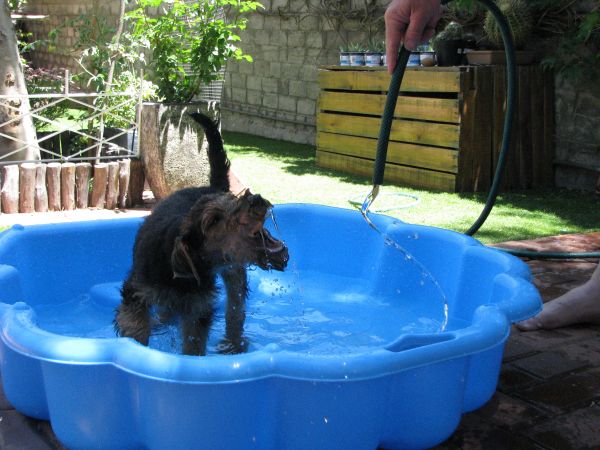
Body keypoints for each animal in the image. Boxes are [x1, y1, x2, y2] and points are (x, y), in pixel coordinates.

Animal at [116, 112, 290, 356]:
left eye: (233, 200)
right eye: (213, 220)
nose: (256, 199)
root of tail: (209, 187)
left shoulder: (198, 307)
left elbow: (194, 341)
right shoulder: (137, 292)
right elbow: (136, 327)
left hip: (234, 273)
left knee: (235, 309)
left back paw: (234, 343)